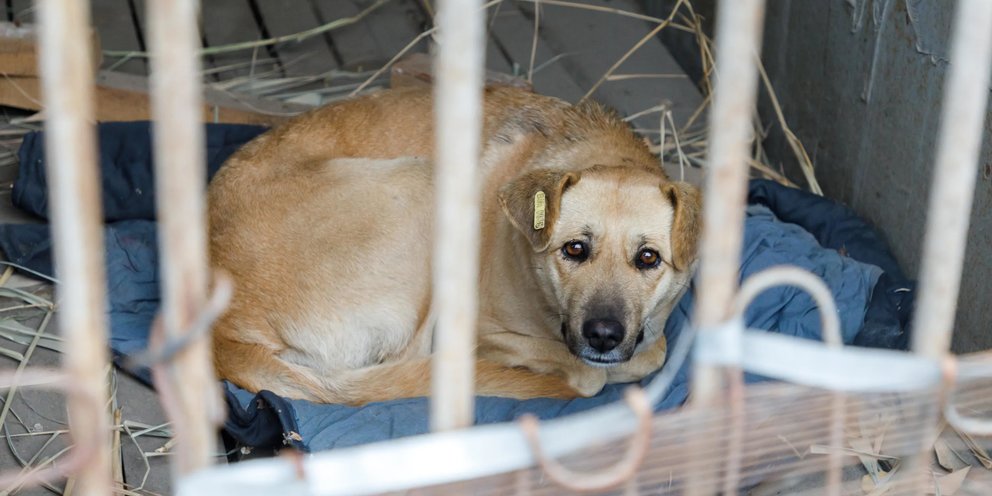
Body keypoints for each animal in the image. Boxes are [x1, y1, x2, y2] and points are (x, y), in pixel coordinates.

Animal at [209, 85, 700, 404]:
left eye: (648, 258)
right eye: (574, 249)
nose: (603, 335)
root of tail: (220, 333)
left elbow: (653, 351)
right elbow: (595, 373)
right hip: (425, 185)